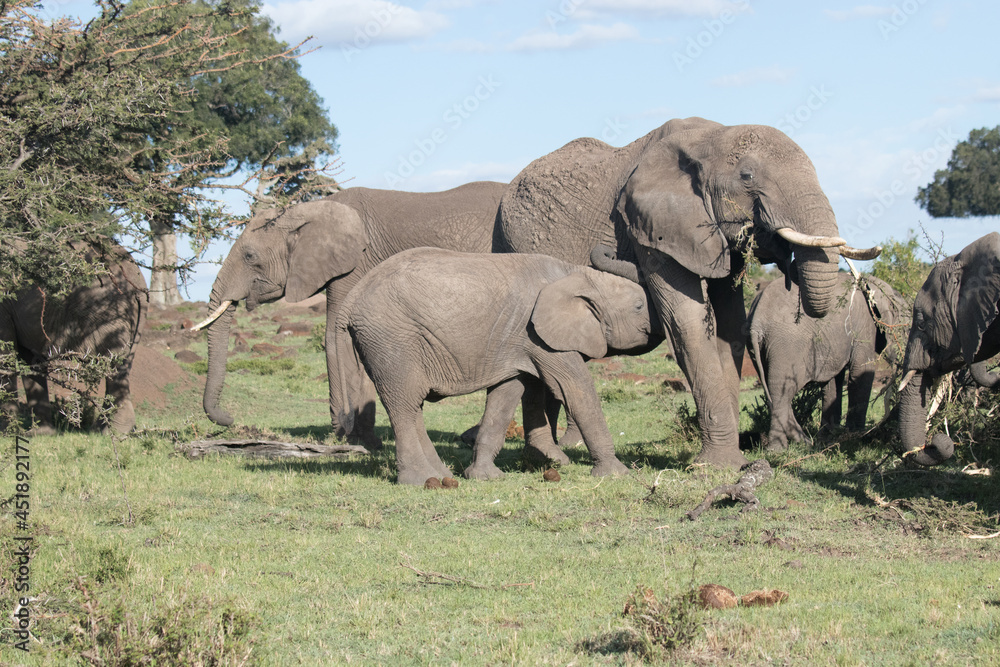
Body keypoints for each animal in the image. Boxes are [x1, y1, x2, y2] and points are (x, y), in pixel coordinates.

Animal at [0, 241, 147, 434]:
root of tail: (138, 283)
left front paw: (7, 433)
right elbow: (30, 361)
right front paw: (40, 433)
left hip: (108, 313)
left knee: (112, 364)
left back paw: (112, 431)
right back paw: (102, 428)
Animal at [193, 181, 506, 448]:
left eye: (249, 256)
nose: (229, 419)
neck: (304, 210)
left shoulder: (355, 264)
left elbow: (335, 332)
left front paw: (350, 436)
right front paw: (364, 439)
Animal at [333, 247, 661, 485]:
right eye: (638, 307)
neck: (577, 273)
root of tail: (351, 299)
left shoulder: (515, 340)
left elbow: (507, 393)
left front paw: (484, 478)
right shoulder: (540, 336)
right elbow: (575, 387)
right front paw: (617, 474)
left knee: (412, 406)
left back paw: (441, 475)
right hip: (391, 339)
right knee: (403, 403)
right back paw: (419, 480)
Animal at [493, 116, 881, 468]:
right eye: (747, 177)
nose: (605, 251)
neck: (713, 136)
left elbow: (729, 327)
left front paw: (735, 458)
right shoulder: (652, 227)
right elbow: (687, 323)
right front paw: (719, 465)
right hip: (512, 242)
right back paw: (548, 457)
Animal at [746, 272, 908, 450]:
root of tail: (756, 322)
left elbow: (833, 381)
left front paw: (830, 437)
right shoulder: (864, 324)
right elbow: (862, 371)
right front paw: (856, 437)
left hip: (757, 348)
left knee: (771, 389)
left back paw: (805, 442)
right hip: (786, 345)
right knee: (782, 391)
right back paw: (779, 450)